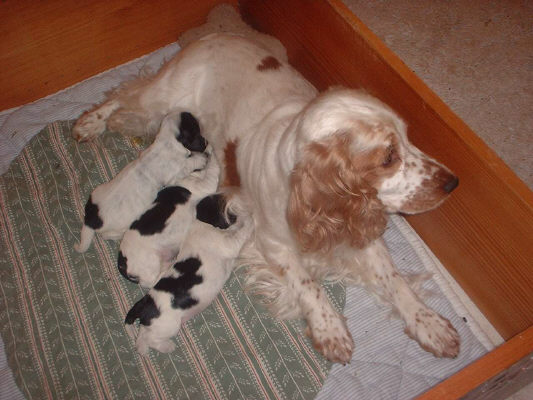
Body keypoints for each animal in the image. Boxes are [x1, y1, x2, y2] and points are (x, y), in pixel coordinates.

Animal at [74, 111, 209, 252]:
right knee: (109, 235)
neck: (166, 143)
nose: (207, 142)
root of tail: (91, 219)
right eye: (197, 130)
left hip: (97, 190)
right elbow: (189, 163)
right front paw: (201, 159)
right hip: (119, 227)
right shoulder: (176, 173)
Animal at [118, 147, 220, 287]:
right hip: (151, 262)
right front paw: (214, 154)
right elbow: (213, 170)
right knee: (152, 282)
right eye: (189, 155)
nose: (205, 153)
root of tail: (122, 265)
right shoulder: (204, 185)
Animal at [125, 193, 252, 355]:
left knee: (143, 336)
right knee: (152, 339)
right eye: (221, 207)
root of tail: (144, 303)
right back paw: (168, 347)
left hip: (154, 326)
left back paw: (142, 349)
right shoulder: (229, 244)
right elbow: (243, 230)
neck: (200, 222)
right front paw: (249, 218)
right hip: (168, 325)